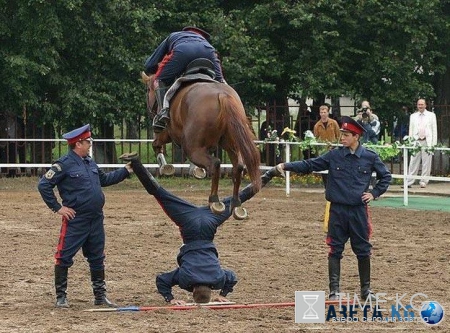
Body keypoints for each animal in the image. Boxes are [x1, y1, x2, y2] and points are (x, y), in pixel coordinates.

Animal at [141, 72, 260, 218]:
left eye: (148, 90)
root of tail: (222, 95)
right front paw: (195, 170)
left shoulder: (168, 132)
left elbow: (156, 144)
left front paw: (165, 167)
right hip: (232, 145)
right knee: (238, 167)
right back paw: (236, 204)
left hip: (192, 148)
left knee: (215, 164)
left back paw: (214, 201)